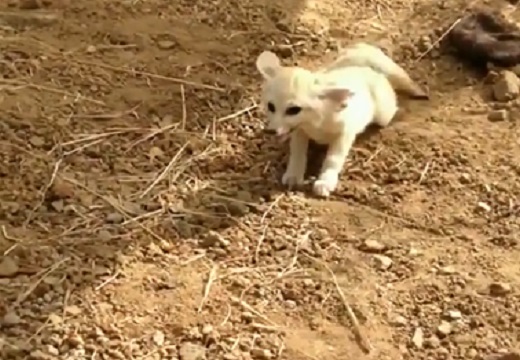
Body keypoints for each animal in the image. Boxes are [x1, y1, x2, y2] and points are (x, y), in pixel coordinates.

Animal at [256, 43, 426, 198]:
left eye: (293, 110)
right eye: (271, 107)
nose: (270, 131)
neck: (315, 122)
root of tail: (364, 67)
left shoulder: (345, 133)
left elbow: (333, 159)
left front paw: (325, 181)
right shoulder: (300, 131)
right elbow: (297, 153)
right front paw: (294, 174)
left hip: (383, 114)